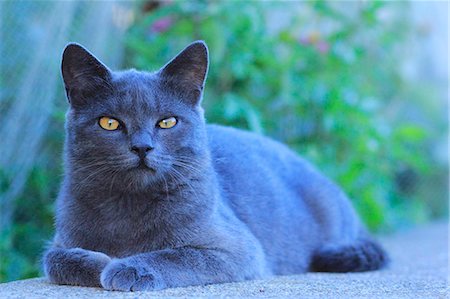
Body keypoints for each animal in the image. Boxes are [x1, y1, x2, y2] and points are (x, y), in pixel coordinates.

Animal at [43, 41, 386, 292]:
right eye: (110, 123)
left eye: (167, 122)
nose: (142, 147)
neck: (128, 208)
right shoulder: (60, 242)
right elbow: (55, 259)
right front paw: (103, 263)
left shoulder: (238, 249)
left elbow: (177, 255)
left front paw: (127, 267)